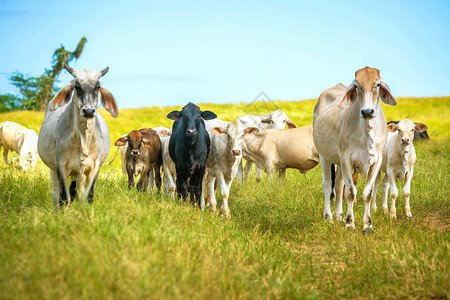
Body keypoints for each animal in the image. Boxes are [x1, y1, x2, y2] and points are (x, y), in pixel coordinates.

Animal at [37, 63, 118, 206]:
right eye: (76, 86)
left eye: (97, 87)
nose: (89, 111)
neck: (83, 138)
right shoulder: (61, 166)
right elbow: (64, 197)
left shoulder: (95, 166)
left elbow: (88, 195)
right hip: (54, 170)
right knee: (56, 193)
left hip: (80, 174)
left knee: (79, 192)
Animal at [312, 67, 398, 232]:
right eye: (357, 85)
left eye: (377, 84)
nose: (367, 112)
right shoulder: (346, 159)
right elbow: (351, 192)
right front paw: (350, 223)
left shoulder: (376, 162)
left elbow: (367, 193)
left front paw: (367, 225)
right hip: (324, 156)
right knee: (327, 184)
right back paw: (328, 217)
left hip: (338, 161)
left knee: (339, 185)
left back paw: (339, 215)